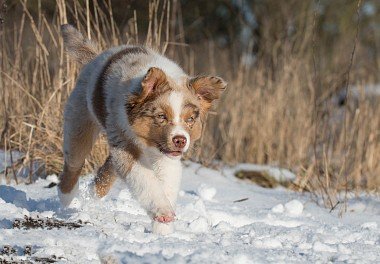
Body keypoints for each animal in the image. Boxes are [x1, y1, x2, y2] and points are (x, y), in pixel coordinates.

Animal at [58, 24, 227, 234]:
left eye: (190, 119)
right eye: (161, 117)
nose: (180, 140)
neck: (149, 143)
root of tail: (95, 59)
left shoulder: (165, 156)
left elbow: (166, 184)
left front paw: (163, 230)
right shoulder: (125, 143)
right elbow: (144, 179)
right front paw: (163, 213)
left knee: (110, 165)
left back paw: (95, 190)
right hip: (80, 120)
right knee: (74, 162)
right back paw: (67, 198)